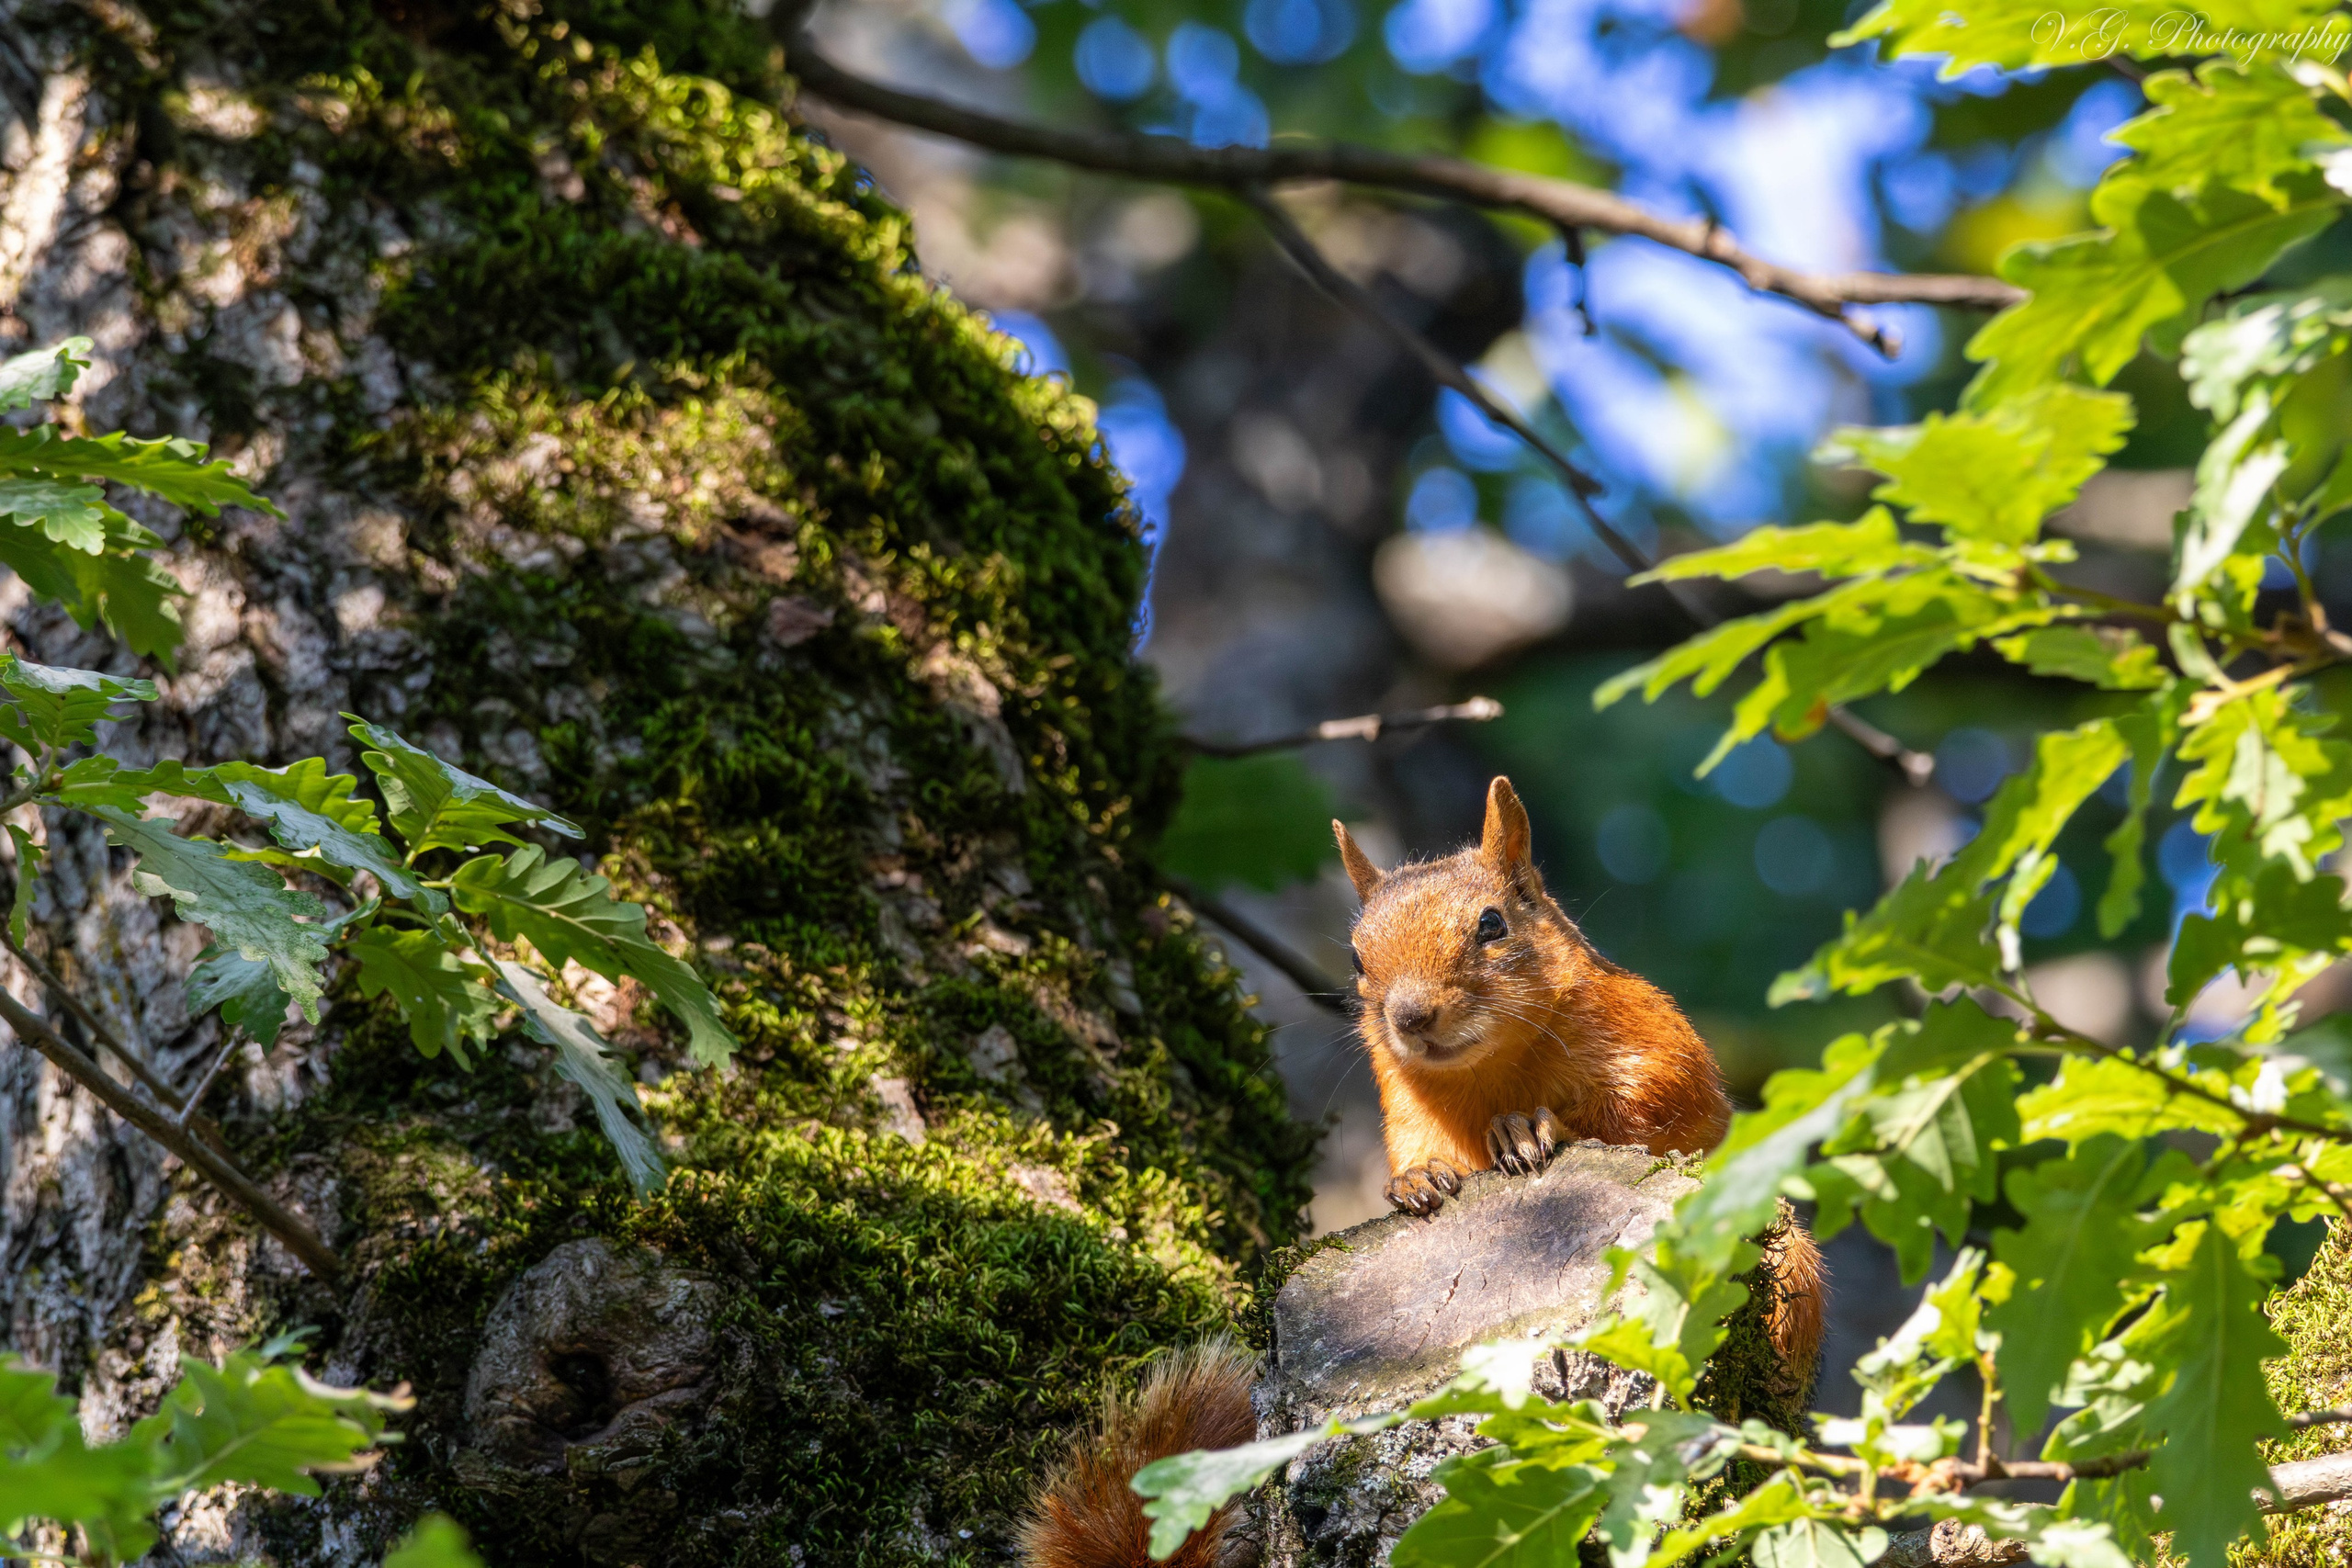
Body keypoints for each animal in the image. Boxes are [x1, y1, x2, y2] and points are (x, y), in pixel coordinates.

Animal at [1016, 777, 1824, 1568]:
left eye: (1493, 924)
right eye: (1355, 957)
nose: (1409, 1015)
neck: (1495, 1065)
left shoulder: (1658, 1047)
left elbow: (1646, 1111)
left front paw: (1534, 1125)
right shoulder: (1404, 1100)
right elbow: (1423, 1151)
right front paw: (1417, 1182)